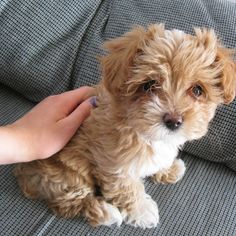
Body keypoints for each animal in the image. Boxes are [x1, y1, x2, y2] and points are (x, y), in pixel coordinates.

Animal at [15, 24, 236, 229]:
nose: (173, 120)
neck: (144, 132)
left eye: (197, 90)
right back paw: (105, 212)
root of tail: (25, 171)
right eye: (149, 85)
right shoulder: (114, 165)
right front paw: (142, 211)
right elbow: (127, 189)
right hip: (67, 176)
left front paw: (169, 168)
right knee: (68, 203)